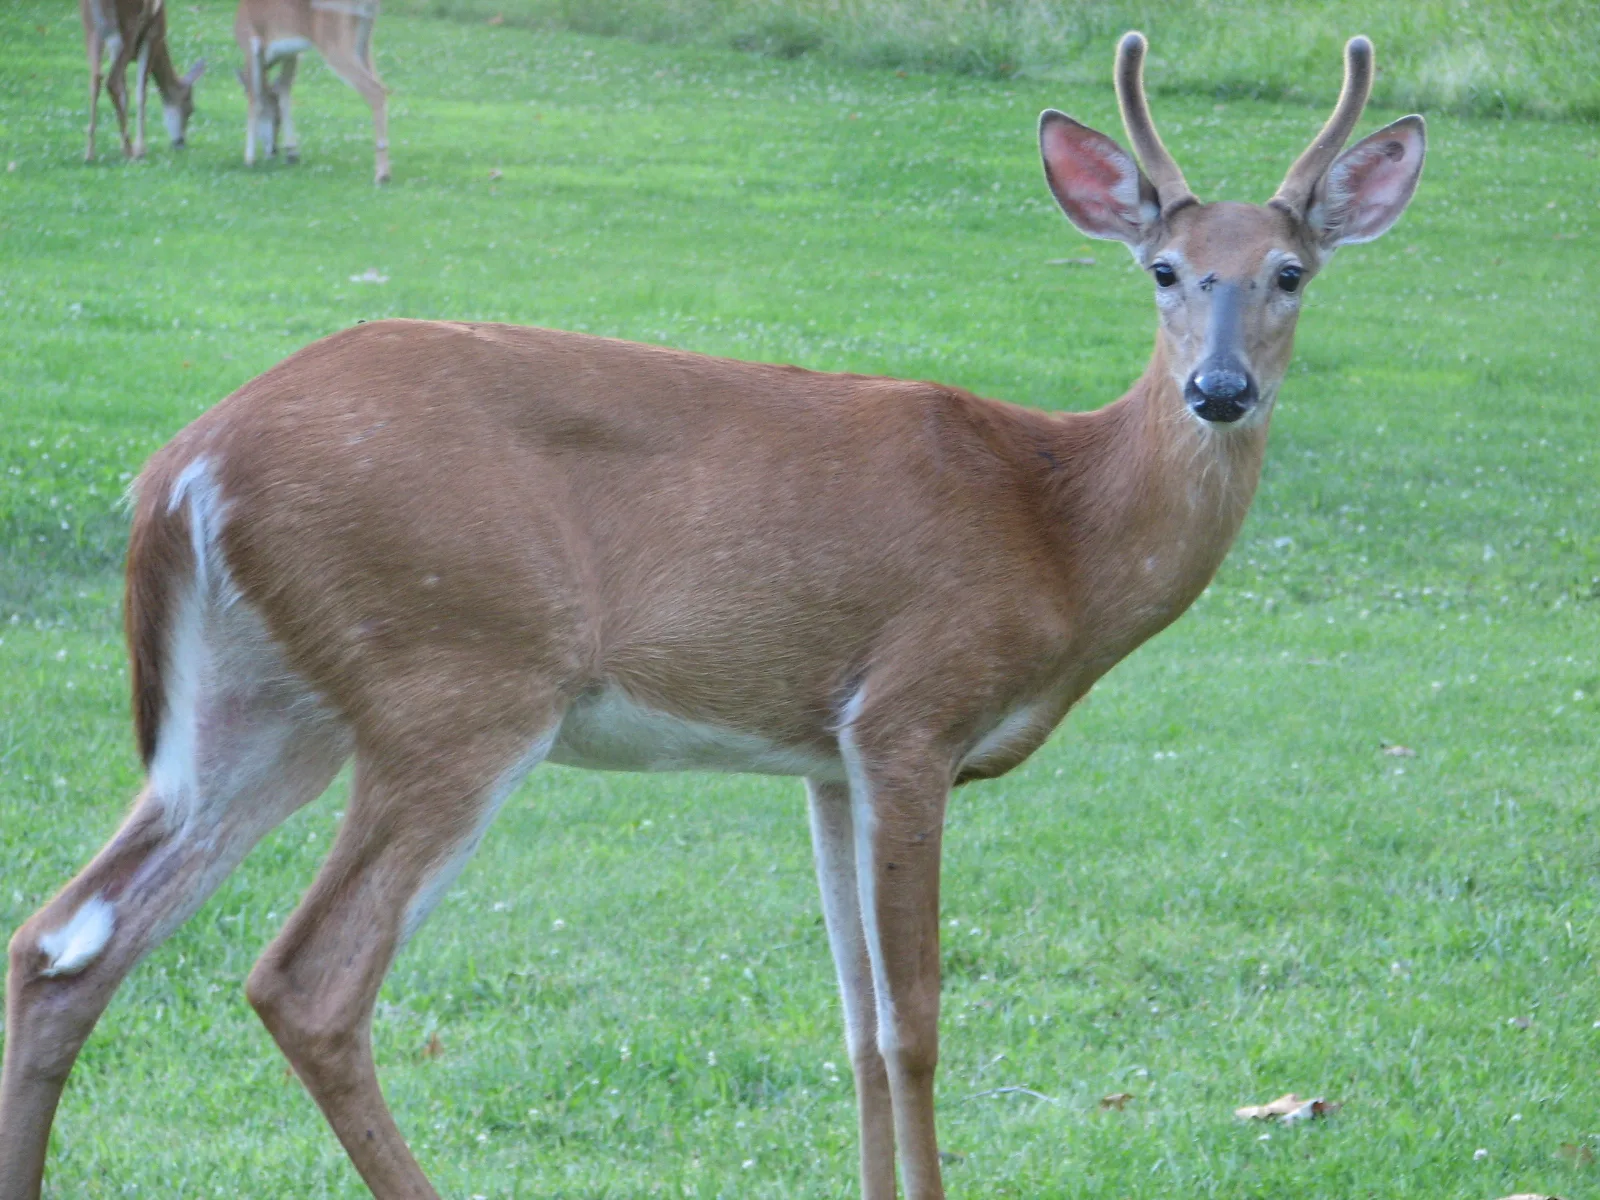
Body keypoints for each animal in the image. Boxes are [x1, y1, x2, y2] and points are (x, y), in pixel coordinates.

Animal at [0, 31, 1423, 1200]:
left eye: (1289, 272)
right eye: (1164, 268)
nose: (1219, 391)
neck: (1060, 524)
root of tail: (184, 462)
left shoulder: (826, 757)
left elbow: (855, 1022)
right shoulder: (912, 710)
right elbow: (916, 1020)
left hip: (265, 705)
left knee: (64, 942)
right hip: (457, 675)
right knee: (304, 981)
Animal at [80, 0, 206, 162]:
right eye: (190, 109)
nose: (180, 142)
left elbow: (125, 94)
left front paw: (124, 145)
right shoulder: (152, 36)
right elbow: (141, 93)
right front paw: (140, 149)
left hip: (92, 28)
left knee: (96, 78)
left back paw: (90, 153)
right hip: (127, 27)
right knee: (111, 81)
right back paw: (130, 152)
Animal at [234, 0, 390, 183]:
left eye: (276, 118)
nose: (273, 150)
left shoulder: (252, 46)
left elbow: (255, 100)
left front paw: (249, 159)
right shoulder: (291, 53)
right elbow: (284, 90)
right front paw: (292, 153)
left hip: (334, 43)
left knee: (376, 91)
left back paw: (382, 175)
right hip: (364, 42)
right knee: (383, 86)